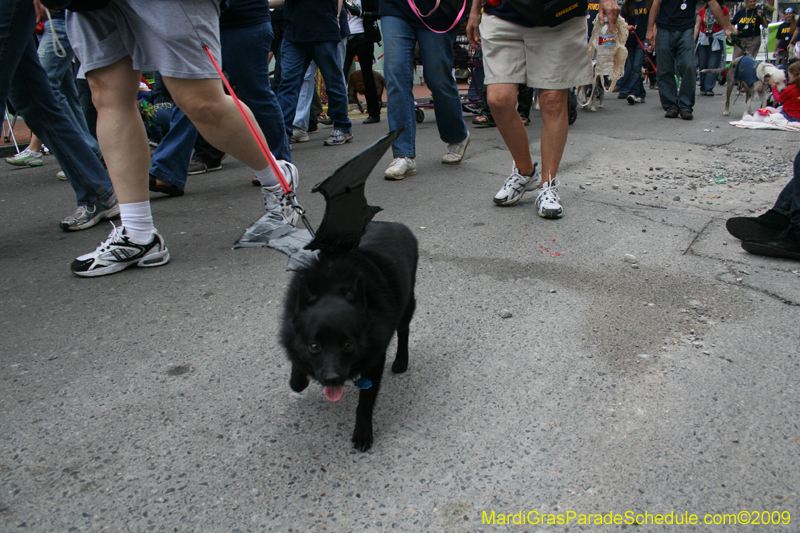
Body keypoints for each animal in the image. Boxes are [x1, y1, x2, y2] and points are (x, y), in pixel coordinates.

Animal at [280, 219, 418, 448]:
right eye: (314, 346)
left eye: (348, 345)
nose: (332, 379)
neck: (332, 286)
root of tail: (394, 224)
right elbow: (297, 378)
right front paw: (300, 379)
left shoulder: (374, 361)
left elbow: (365, 402)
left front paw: (362, 433)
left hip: (407, 303)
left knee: (404, 331)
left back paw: (401, 360)